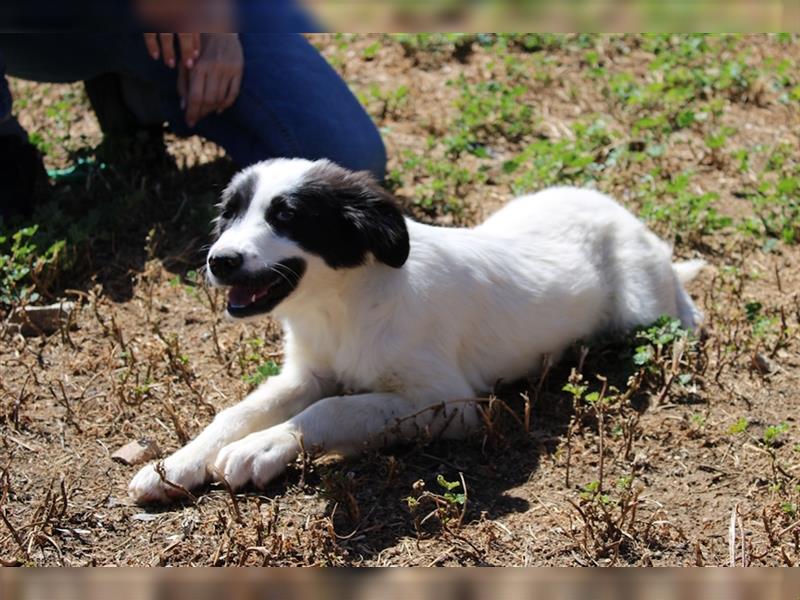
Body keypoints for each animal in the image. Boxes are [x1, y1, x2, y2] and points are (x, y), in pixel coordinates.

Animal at [128, 158, 704, 502]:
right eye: (228, 214)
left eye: (287, 216)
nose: (218, 261)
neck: (345, 306)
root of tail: (622, 214)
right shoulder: (306, 373)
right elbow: (237, 412)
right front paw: (176, 463)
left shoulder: (450, 403)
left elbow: (332, 409)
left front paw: (263, 447)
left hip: (641, 310)